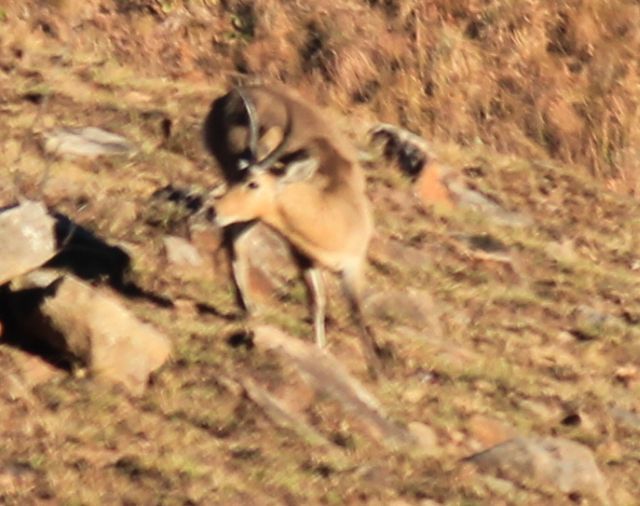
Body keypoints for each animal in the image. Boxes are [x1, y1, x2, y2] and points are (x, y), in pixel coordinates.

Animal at [202, 84, 378, 372]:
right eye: (241, 177)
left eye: (253, 183)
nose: (213, 210)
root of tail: (227, 99)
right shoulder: (303, 256)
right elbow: (319, 301)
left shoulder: (352, 265)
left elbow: (354, 311)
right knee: (236, 239)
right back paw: (248, 308)